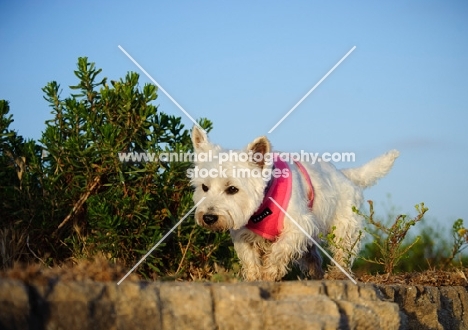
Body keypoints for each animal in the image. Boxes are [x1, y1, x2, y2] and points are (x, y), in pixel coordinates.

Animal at [189, 126, 398, 282]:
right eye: (204, 187)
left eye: (232, 189)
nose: (208, 218)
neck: (264, 202)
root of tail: (344, 174)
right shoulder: (242, 232)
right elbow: (249, 257)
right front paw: (254, 277)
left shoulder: (299, 225)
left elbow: (280, 250)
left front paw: (269, 274)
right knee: (313, 256)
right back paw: (316, 274)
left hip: (344, 224)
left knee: (343, 251)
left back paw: (338, 274)